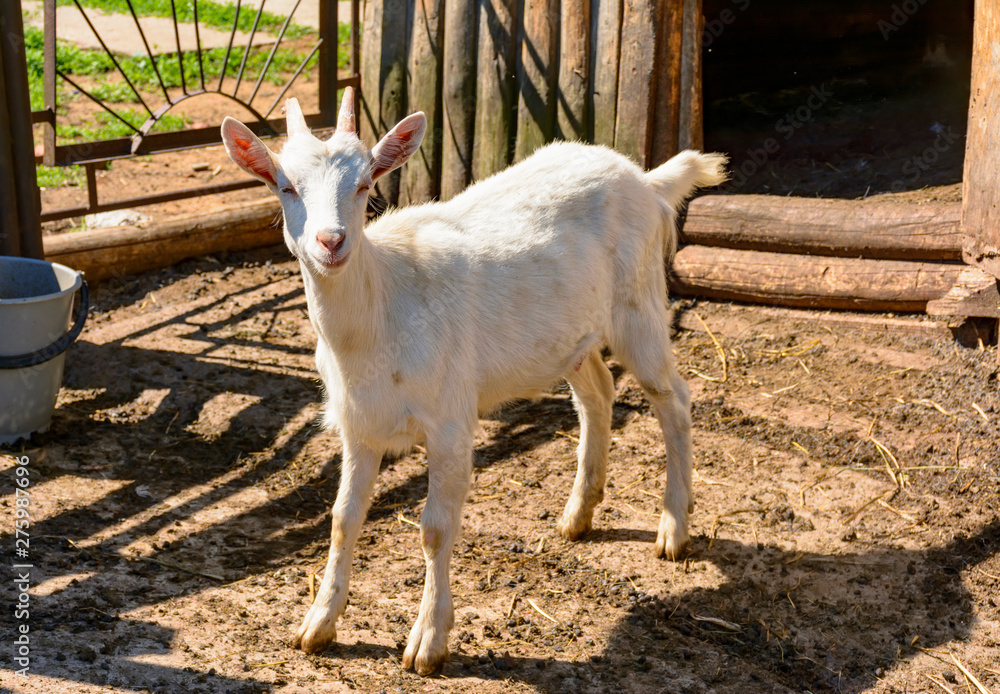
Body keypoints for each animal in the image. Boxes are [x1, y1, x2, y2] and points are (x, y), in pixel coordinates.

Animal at [221, 87, 727, 676]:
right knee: (598, 393)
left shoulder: (449, 420)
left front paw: (427, 643)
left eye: (365, 183)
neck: (383, 305)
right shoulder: (359, 423)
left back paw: (673, 529)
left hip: (639, 306)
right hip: (569, 337)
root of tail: (646, 180)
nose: (331, 241)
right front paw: (318, 625)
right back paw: (578, 514)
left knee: (674, 399)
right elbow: (344, 517)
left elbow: (435, 528)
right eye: (285, 186)